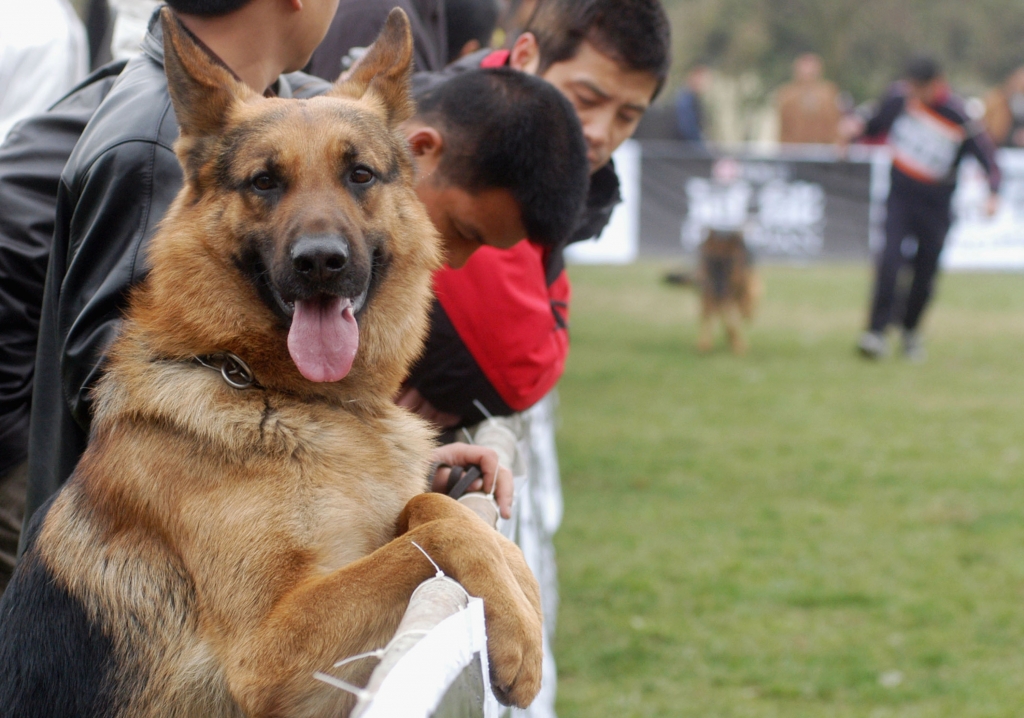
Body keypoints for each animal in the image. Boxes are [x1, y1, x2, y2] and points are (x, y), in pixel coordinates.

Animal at [0, 11, 544, 716]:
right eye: (265, 181)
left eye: (360, 175)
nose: (320, 262)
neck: (273, 392)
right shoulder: (271, 652)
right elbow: (430, 534)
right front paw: (520, 635)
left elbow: (434, 509)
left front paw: (523, 592)